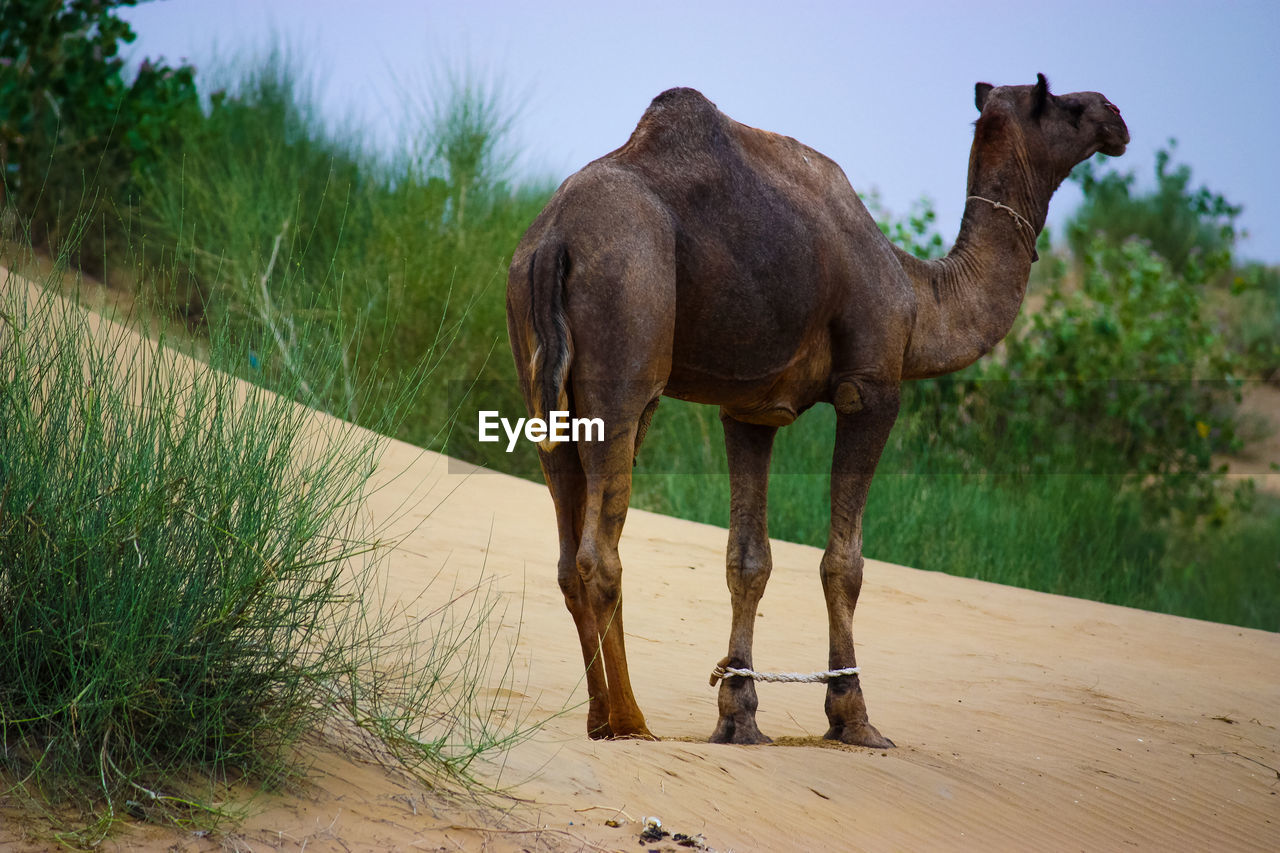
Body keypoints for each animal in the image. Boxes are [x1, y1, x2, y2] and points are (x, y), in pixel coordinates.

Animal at [504, 74, 1126, 742]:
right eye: (1061, 102)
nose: (1115, 117)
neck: (918, 298)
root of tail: (554, 239)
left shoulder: (749, 409)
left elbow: (747, 559)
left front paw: (739, 716)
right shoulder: (872, 389)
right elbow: (844, 564)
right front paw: (853, 717)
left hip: (541, 377)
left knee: (568, 553)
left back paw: (600, 720)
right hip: (626, 340)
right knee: (600, 552)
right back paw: (630, 721)